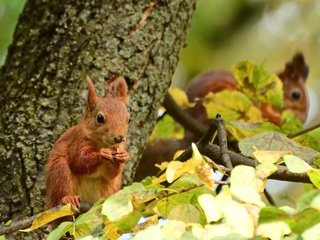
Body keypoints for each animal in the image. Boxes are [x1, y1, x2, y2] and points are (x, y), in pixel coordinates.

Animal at [45, 75, 130, 210]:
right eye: (100, 118)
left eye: (129, 120)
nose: (119, 138)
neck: (102, 143)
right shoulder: (78, 140)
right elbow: (78, 161)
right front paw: (102, 154)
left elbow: (111, 174)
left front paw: (124, 156)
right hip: (59, 172)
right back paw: (68, 198)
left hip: (111, 187)